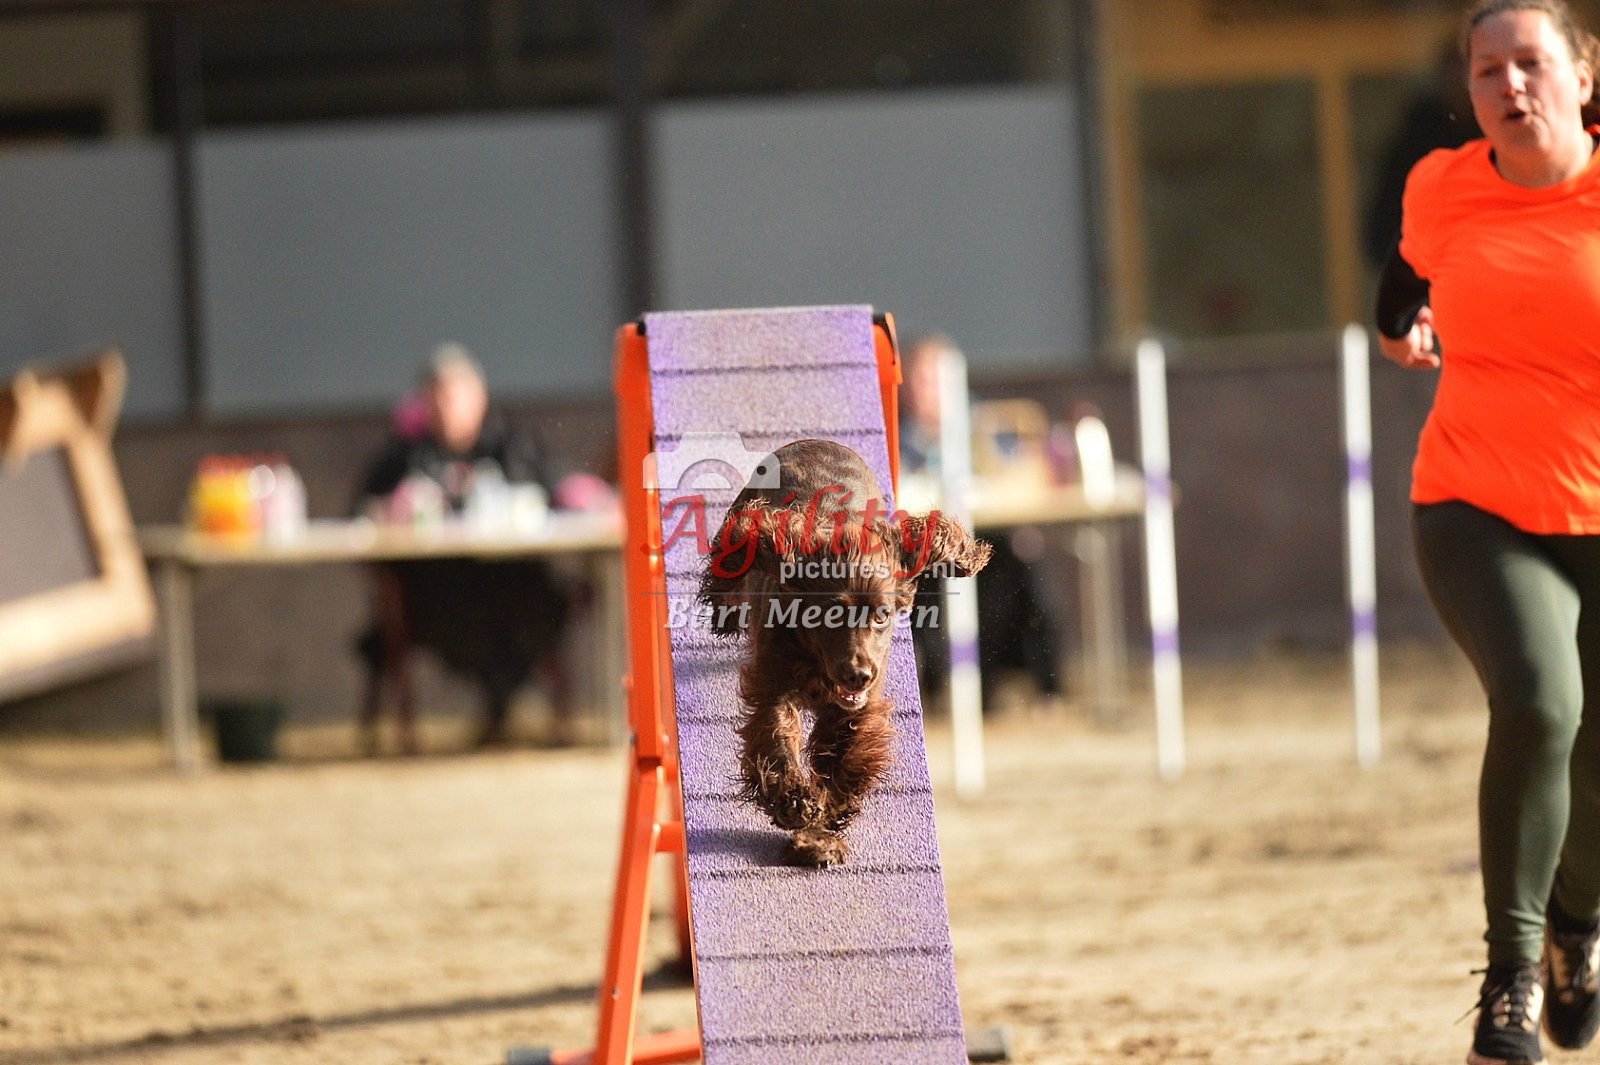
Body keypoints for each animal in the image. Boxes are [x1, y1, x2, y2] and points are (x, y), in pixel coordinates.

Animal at [697, 438, 991, 867]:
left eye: (882, 615)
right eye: (830, 613)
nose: (858, 674)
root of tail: (817, 441)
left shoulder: (857, 709)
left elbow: (843, 762)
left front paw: (818, 837)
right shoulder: (772, 684)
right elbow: (775, 737)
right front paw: (795, 801)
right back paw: (725, 610)